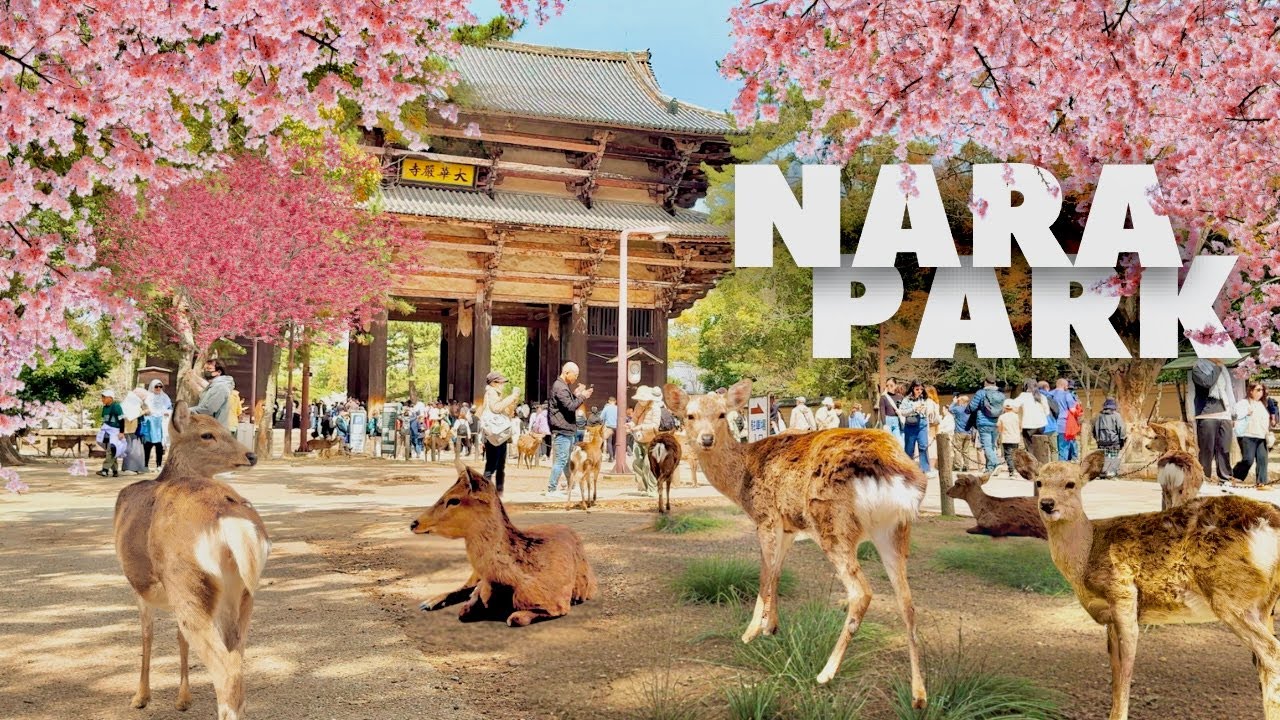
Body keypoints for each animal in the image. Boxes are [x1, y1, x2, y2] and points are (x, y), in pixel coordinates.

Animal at [113, 401, 270, 720]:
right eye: (208, 434)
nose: (251, 455)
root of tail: (231, 522)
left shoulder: (139, 588)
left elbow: (147, 635)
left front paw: (140, 697)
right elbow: (176, 637)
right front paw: (183, 699)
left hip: (186, 581)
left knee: (225, 672)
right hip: (242, 594)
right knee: (237, 665)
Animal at [664, 381, 927, 705]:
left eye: (723, 414)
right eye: (689, 415)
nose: (706, 438)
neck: (740, 480)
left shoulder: (765, 517)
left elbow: (764, 574)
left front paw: (751, 632)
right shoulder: (789, 526)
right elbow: (777, 572)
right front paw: (771, 627)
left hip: (832, 524)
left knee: (861, 592)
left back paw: (825, 673)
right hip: (893, 530)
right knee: (908, 602)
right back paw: (919, 694)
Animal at [1015, 448, 1280, 720]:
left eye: (1071, 484)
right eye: (1038, 482)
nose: (1047, 504)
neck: (1088, 554)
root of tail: (1271, 520)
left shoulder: (1123, 594)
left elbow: (1126, 670)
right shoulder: (1110, 618)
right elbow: (1115, 670)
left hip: (1230, 594)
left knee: (1271, 652)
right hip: (1264, 604)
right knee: (1262, 661)